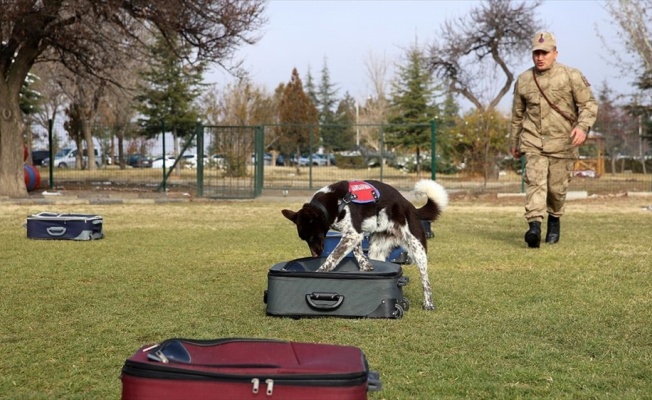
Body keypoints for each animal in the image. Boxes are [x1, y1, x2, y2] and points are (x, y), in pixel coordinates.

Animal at [280, 180, 448, 310]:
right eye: (304, 239)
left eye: (312, 236)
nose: (315, 255)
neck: (335, 204)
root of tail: (412, 207)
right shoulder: (355, 235)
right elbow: (357, 253)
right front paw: (365, 267)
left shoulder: (352, 234)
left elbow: (332, 258)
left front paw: (320, 272)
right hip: (377, 250)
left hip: (417, 248)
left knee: (426, 281)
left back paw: (428, 304)